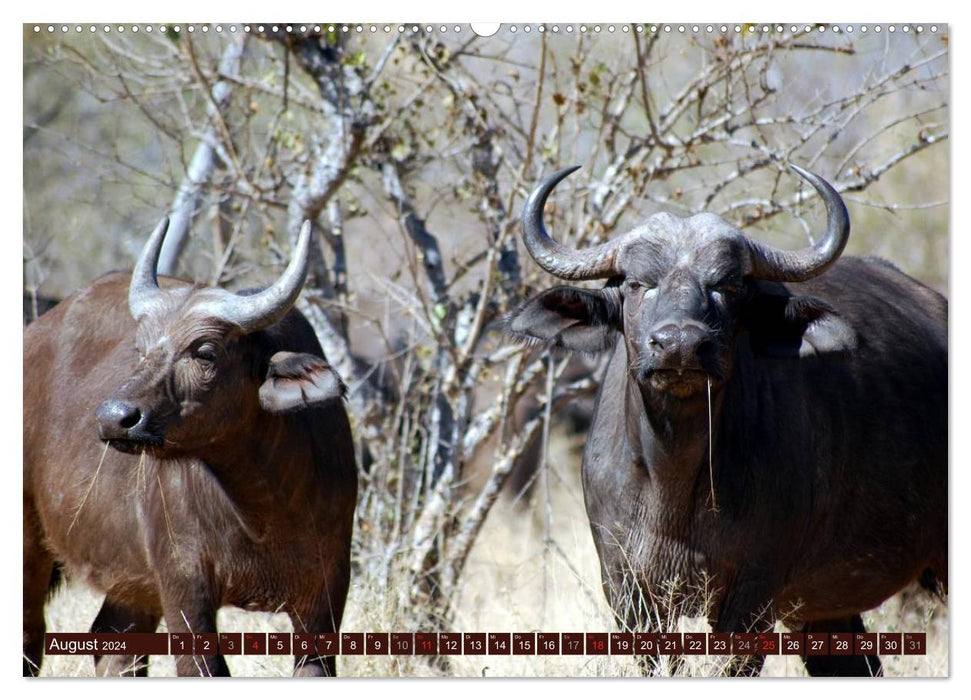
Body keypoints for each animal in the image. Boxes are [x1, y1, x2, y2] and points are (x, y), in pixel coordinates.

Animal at [24, 220, 358, 680]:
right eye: (141, 350)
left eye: (204, 351)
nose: (114, 417)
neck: (263, 509)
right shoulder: (183, 583)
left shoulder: (326, 590)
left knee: (115, 643)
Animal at [508, 165, 948, 680]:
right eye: (637, 284)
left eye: (728, 285)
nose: (680, 345)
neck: (673, 480)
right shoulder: (629, 593)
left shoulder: (750, 596)